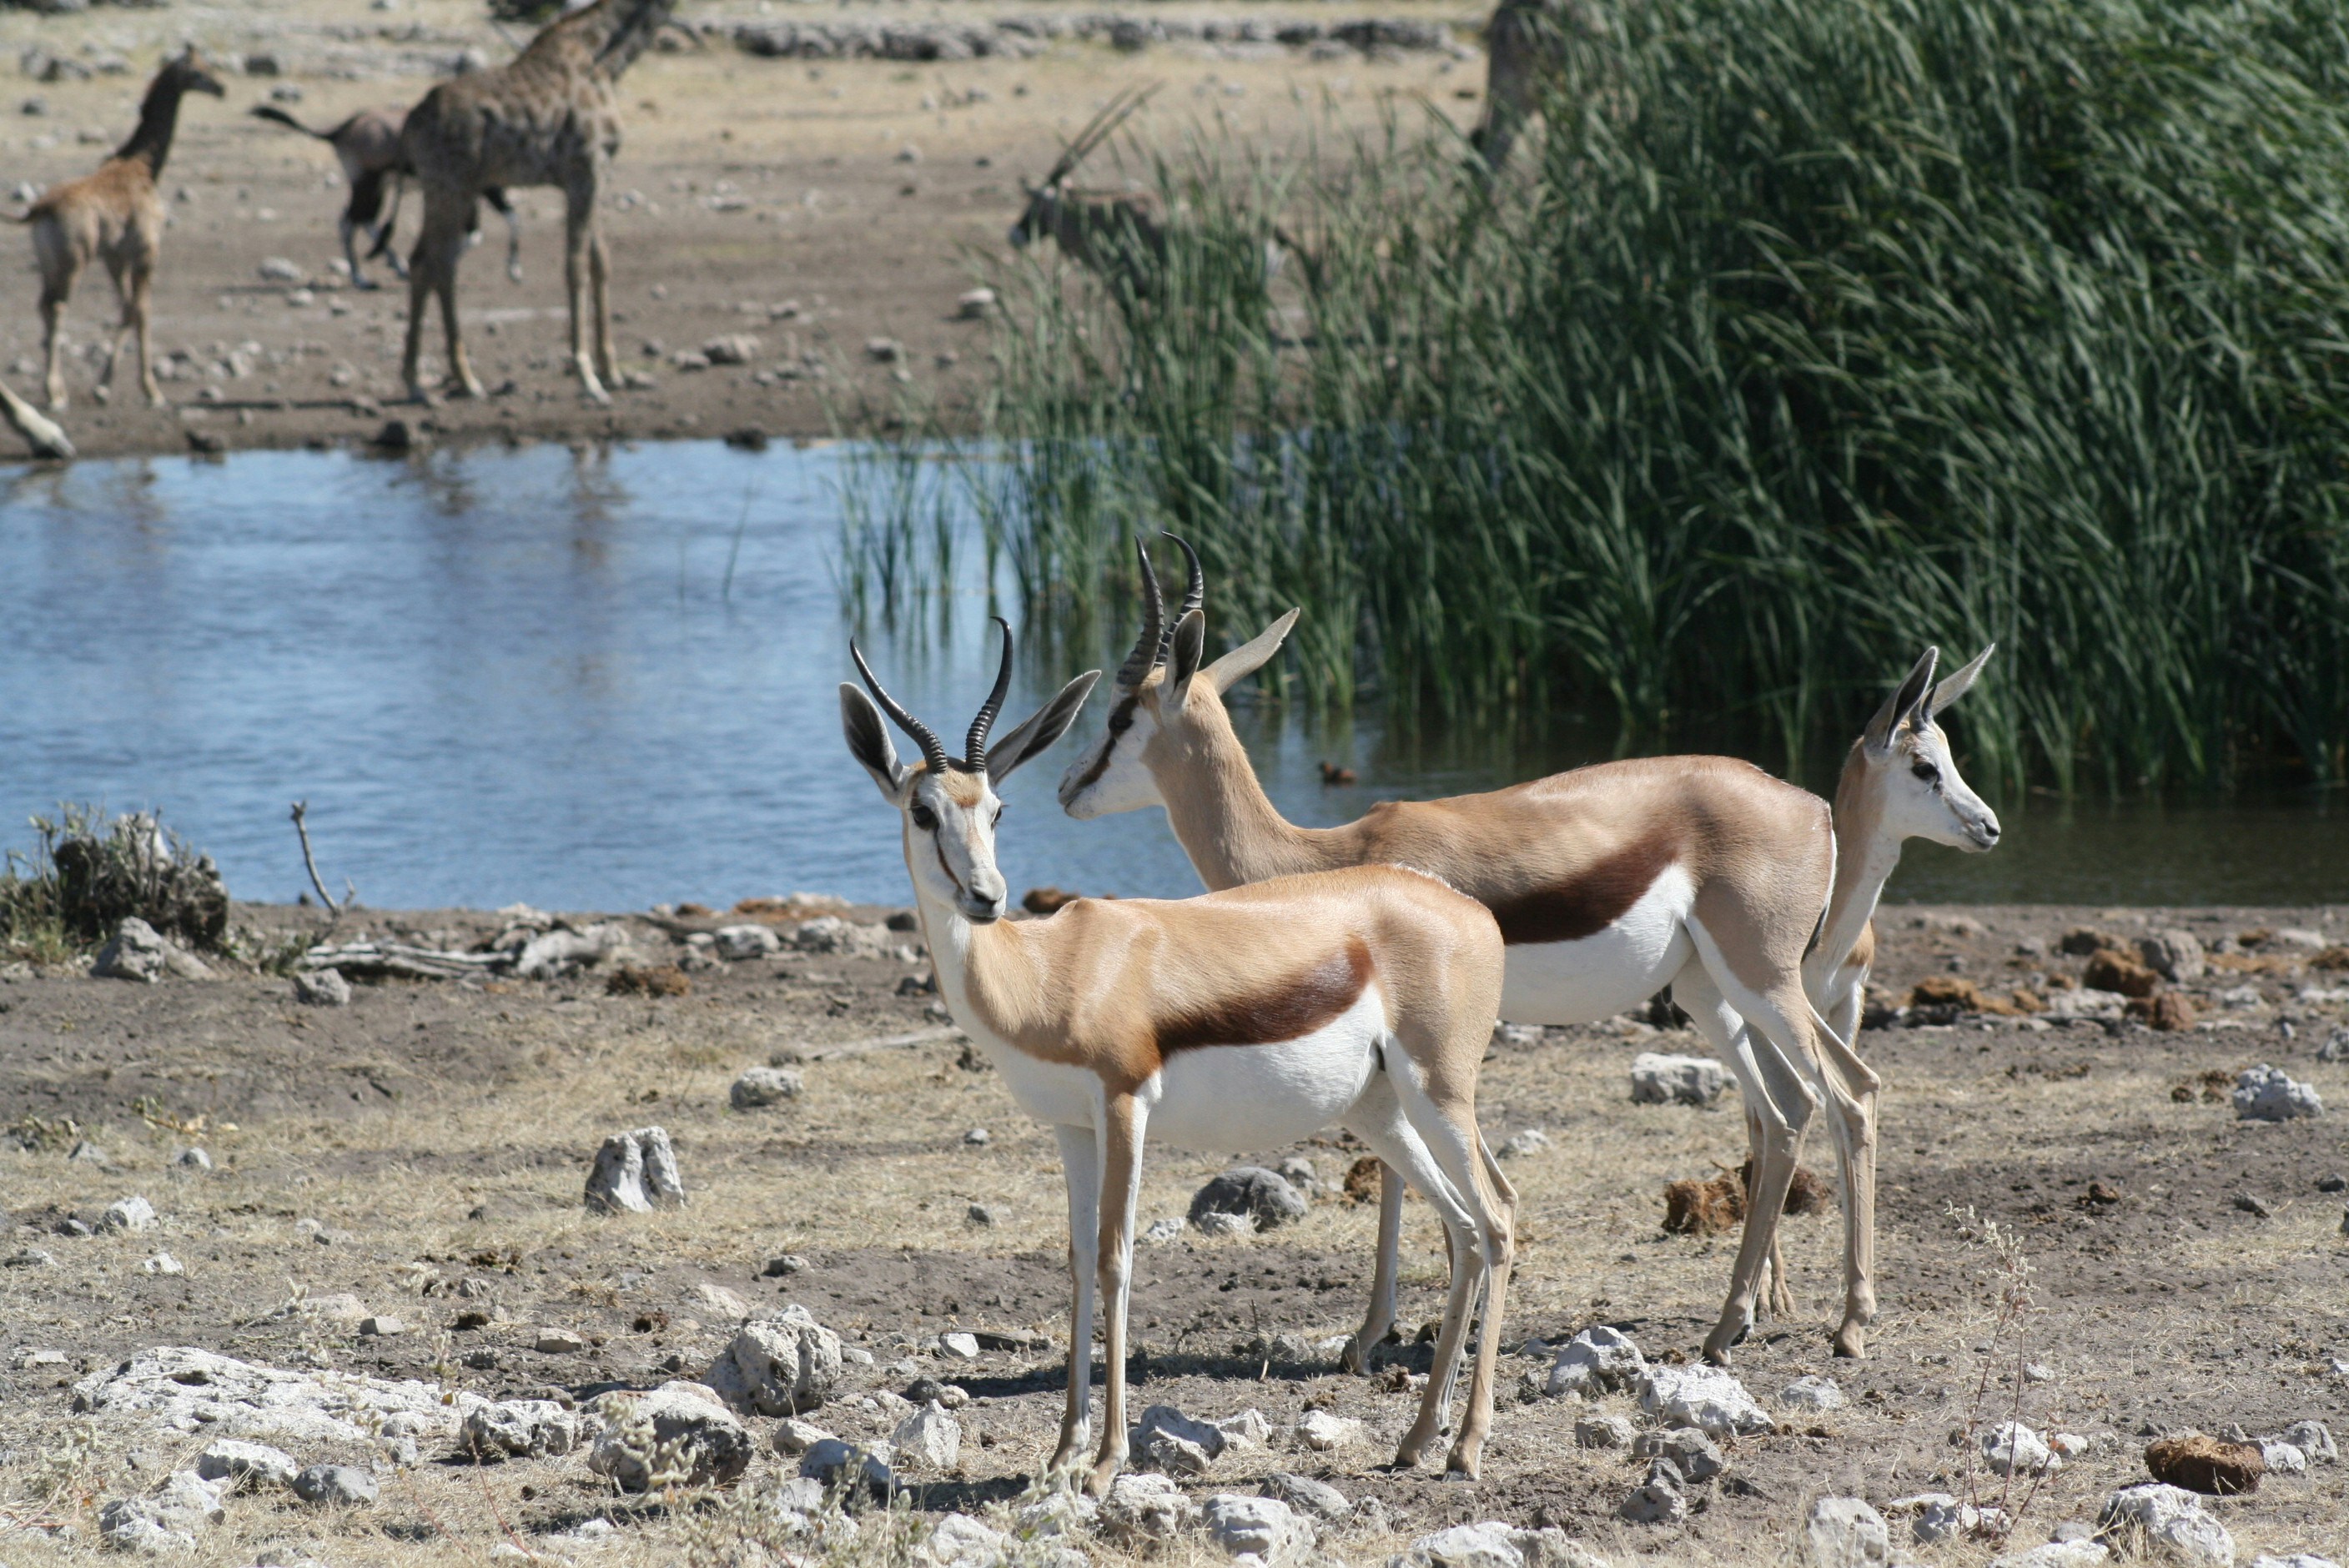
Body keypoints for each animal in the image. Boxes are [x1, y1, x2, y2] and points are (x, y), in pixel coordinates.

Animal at [8, 48, 226, 411]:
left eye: (209, 66)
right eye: (199, 71)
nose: (222, 89)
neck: (144, 166)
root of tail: (38, 210)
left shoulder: (115, 257)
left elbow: (127, 308)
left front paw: (105, 384)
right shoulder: (146, 250)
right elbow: (142, 310)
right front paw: (150, 390)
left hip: (50, 263)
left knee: (43, 305)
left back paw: (56, 388)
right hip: (74, 261)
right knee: (58, 308)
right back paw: (55, 394)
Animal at [250, 105, 523, 292]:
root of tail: (342, 129)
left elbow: (479, 230)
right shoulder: (485, 189)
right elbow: (488, 228)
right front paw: (513, 269)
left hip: (377, 189)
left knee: (363, 220)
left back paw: (395, 267)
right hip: (367, 186)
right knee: (350, 222)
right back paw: (361, 278)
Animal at [843, 620, 1516, 1490]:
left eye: (996, 808)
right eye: (924, 811)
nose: (987, 897)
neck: (1049, 971)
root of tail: (1470, 911)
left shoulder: (1126, 1105)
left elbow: (1116, 1258)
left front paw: (1105, 1461)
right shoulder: (1071, 1126)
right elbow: (1074, 1261)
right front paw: (1061, 1453)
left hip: (1439, 1093)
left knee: (1497, 1220)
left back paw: (1466, 1446)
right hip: (1381, 1112)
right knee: (1463, 1229)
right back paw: (1416, 1439)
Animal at [1060, 537, 1867, 1366]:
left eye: (1120, 714)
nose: (1064, 787)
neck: (1326, 856)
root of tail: (1811, 804)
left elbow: (1411, 1180)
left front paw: (1392, 1332)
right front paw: (1390, 1329)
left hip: (1761, 979)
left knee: (1844, 1095)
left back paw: (1841, 1322)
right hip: (1710, 991)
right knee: (1784, 1110)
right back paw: (1742, 1316)